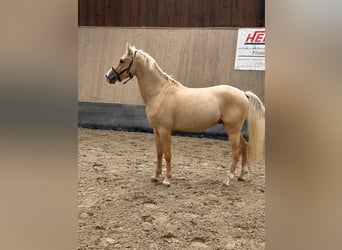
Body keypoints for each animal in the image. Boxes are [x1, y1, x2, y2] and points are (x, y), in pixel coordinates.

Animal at [105, 44, 266, 187]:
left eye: (121, 60)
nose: (108, 76)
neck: (159, 92)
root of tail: (243, 94)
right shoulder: (156, 130)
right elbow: (159, 153)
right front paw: (155, 176)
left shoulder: (165, 130)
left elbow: (167, 154)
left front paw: (167, 180)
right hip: (235, 129)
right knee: (244, 147)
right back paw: (242, 175)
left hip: (232, 130)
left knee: (236, 151)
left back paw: (228, 179)